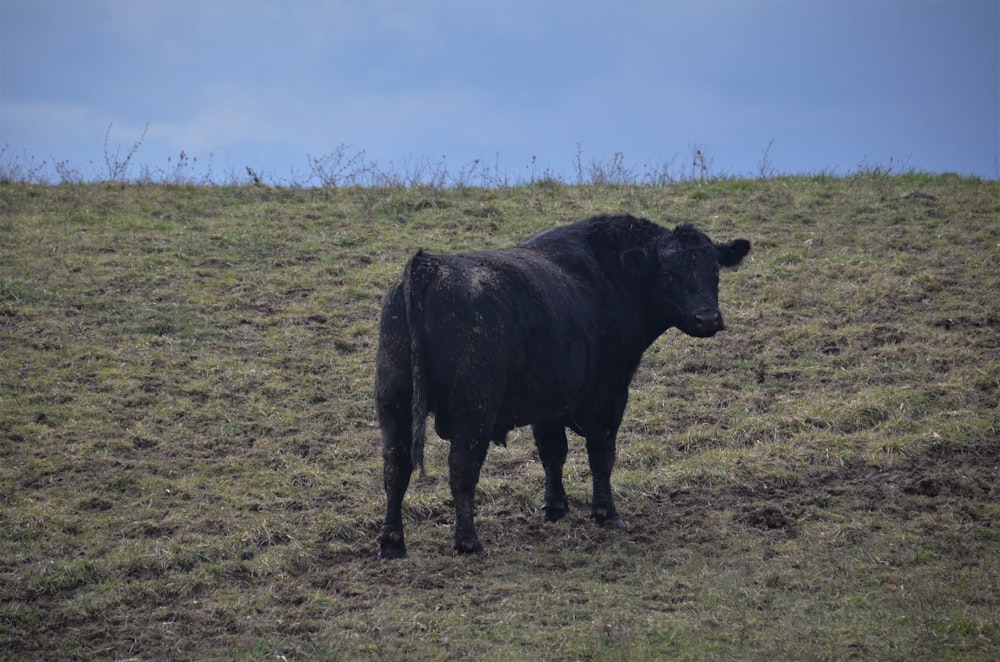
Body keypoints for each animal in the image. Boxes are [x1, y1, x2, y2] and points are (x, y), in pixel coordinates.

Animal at [376, 215, 752, 556]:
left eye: (715, 271)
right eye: (669, 274)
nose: (707, 318)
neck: (610, 277)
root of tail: (429, 265)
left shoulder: (549, 400)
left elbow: (552, 452)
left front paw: (556, 507)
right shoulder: (609, 396)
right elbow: (601, 455)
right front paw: (605, 512)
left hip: (394, 401)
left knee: (396, 465)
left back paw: (392, 541)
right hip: (474, 405)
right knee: (462, 466)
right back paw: (469, 542)